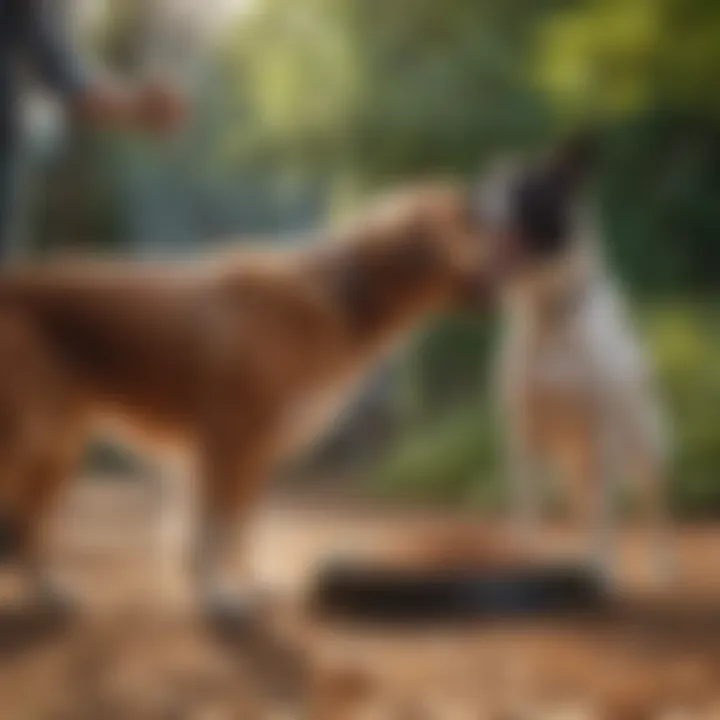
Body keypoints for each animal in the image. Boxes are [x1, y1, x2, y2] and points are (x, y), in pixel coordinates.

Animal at [0, 183, 498, 616]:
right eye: (469, 221)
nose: (512, 247)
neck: (342, 295)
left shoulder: (252, 450)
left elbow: (237, 528)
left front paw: (247, 586)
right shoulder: (228, 442)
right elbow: (213, 531)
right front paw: (220, 599)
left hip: (55, 446)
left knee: (28, 530)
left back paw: (50, 593)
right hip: (35, 441)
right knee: (27, 528)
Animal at [478, 138, 668, 584]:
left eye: (527, 189)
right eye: (487, 181)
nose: (470, 202)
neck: (550, 317)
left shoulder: (600, 436)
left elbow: (604, 523)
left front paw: (601, 570)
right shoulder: (523, 436)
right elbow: (528, 514)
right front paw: (527, 558)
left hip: (644, 451)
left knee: (654, 510)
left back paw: (665, 566)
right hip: (572, 466)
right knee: (581, 507)